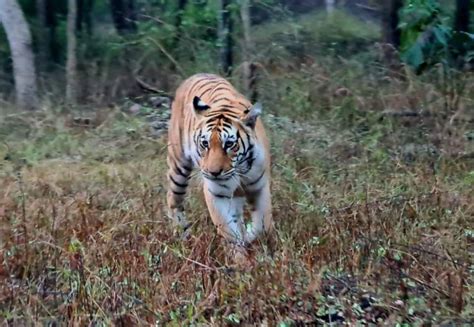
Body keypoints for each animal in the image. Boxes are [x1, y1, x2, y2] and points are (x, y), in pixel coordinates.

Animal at [167, 73, 272, 250]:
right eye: (205, 143)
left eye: (229, 144)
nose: (213, 172)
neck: (239, 168)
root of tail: (197, 74)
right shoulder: (216, 193)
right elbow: (229, 232)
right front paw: (240, 254)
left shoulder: (259, 187)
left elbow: (262, 225)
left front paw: (251, 237)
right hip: (178, 166)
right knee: (173, 199)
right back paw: (182, 235)